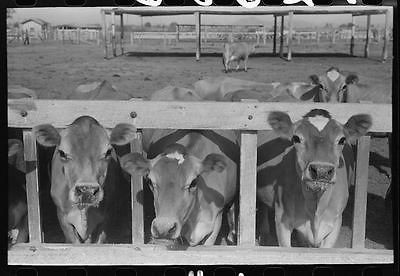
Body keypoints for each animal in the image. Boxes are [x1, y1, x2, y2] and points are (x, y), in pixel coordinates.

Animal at [256, 109, 372, 247]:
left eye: (342, 140)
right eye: (296, 138)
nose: (321, 170)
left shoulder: (335, 223)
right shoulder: (282, 220)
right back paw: (264, 234)